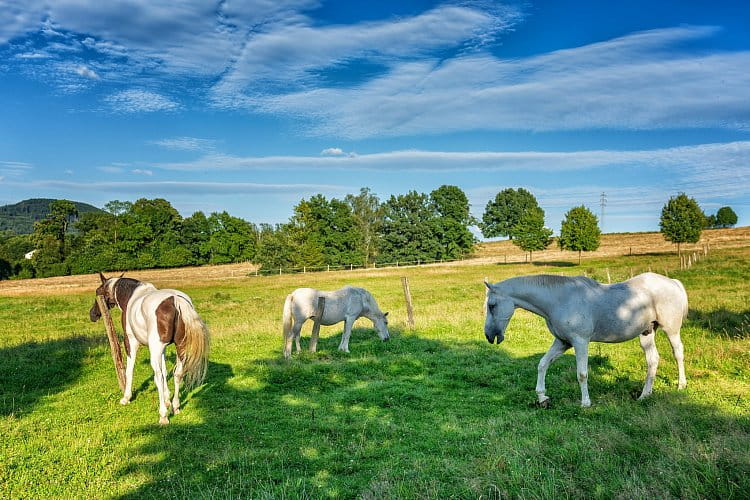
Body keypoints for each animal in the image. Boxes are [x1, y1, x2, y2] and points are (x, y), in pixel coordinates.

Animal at [90, 272, 210, 424]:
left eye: (97, 292)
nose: (93, 314)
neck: (131, 296)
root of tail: (176, 300)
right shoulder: (163, 348)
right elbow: (165, 370)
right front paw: (167, 398)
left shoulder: (131, 342)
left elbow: (130, 370)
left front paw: (126, 398)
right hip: (179, 346)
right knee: (178, 373)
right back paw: (175, 407)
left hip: (155, 348)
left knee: (158, 376)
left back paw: (163, 415)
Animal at [484, 274, 692, 406]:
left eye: (492, 305)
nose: (488, 335)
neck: (559, 300)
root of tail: (672, 282)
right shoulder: (562, 342)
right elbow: (542, 364)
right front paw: (542, 397)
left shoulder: (580, 342)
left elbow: (582, 374)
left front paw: (585, 403)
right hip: (646, 333)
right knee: (653, 360)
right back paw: (644, 395)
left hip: (671, 330)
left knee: (678, 353)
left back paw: (681, 385)